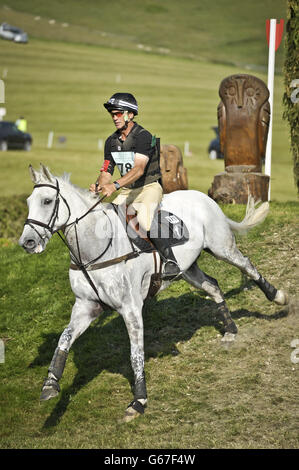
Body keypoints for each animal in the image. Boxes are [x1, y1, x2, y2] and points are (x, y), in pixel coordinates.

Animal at [18, 166, 288, 422]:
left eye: (47, 201)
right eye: (29, 202)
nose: (27, 243)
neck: (92, 252)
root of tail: (204, 197)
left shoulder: (130, 309)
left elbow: (135, 355)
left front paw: (139, 401)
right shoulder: (86, 307)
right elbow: (64, 340)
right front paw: (50, 385)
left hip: (222, 248)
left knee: (247, 266)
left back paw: (277, 297)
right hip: (189, 269)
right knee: (213, 286)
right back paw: (230, 330)